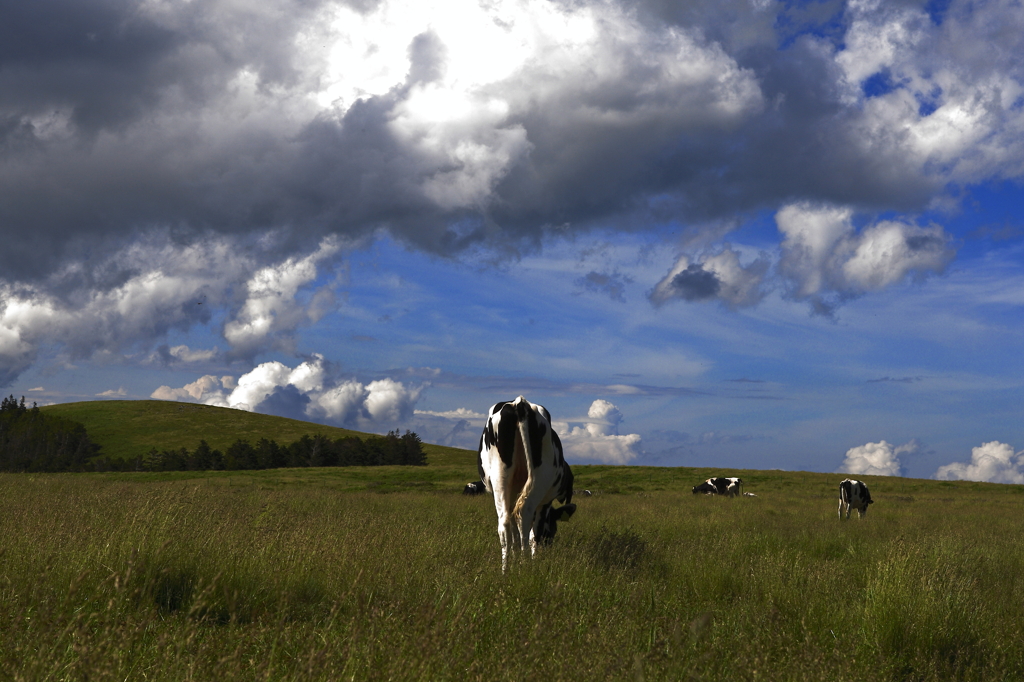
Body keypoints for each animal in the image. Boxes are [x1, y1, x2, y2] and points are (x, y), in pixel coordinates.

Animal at [477, 393, 577, 569]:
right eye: (553, 530)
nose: (549, 545)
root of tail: (519, 403)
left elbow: (514, 532)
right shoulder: (546, 502)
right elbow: (535, 533)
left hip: (500, 477)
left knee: (504, 523)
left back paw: (506, 569)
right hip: (538, 481)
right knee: (524, 516)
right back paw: (525, 566)